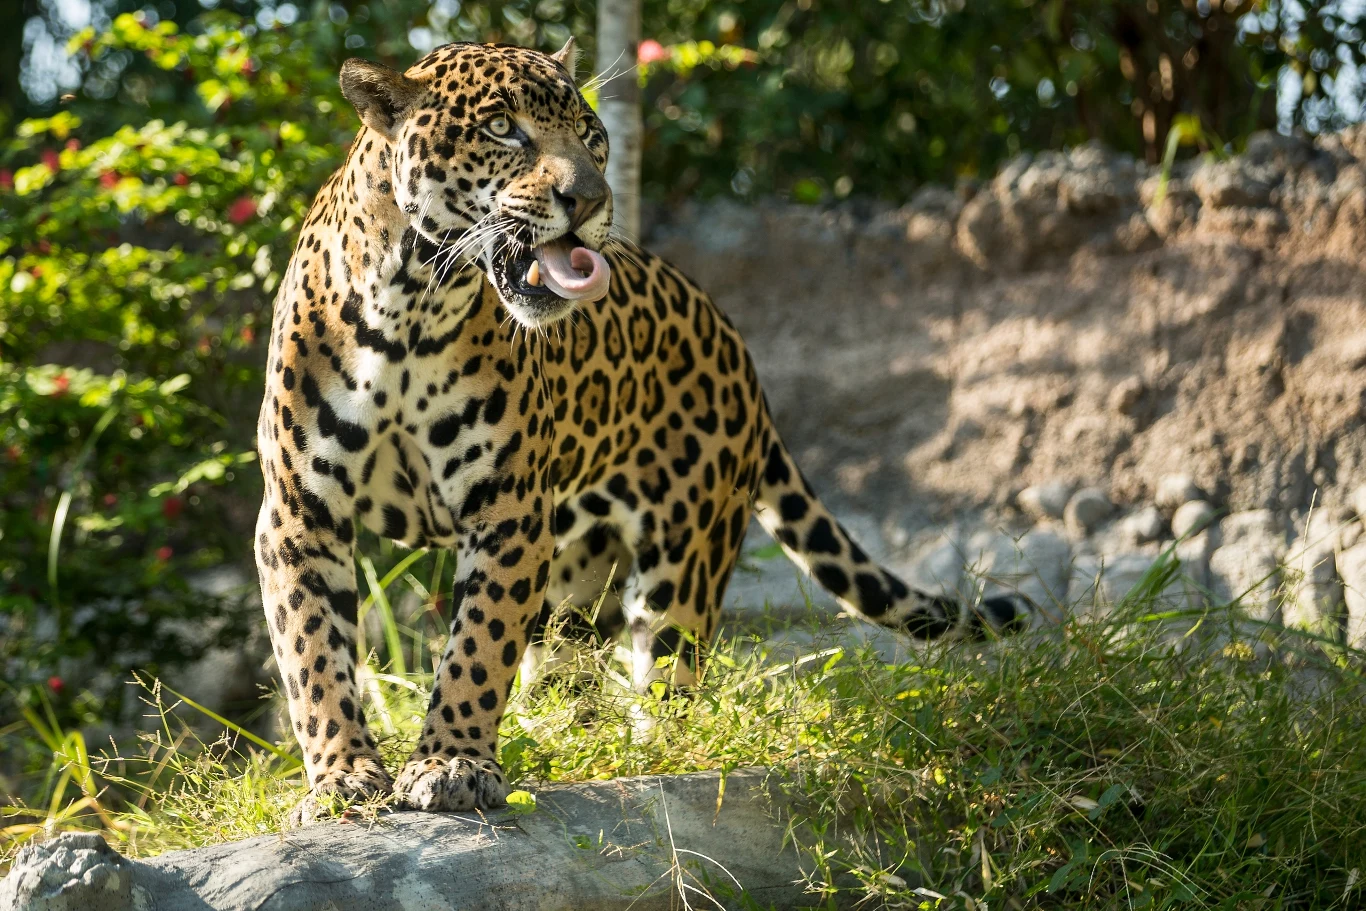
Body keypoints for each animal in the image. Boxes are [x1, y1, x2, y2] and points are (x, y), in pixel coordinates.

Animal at [254, 38, 1033, 824]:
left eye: (589, 134)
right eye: (503, 129)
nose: (591, 199)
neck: (412, 308)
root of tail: (739, 350)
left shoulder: (507, 512)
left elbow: (478, 645)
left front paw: (454, 762)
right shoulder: (300, 512)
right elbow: (316, 652)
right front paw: (343, 777)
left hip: (681, 561)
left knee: (666, 672)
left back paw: (646, 746)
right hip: (570, 565)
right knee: (560, 653)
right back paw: (560, 730)